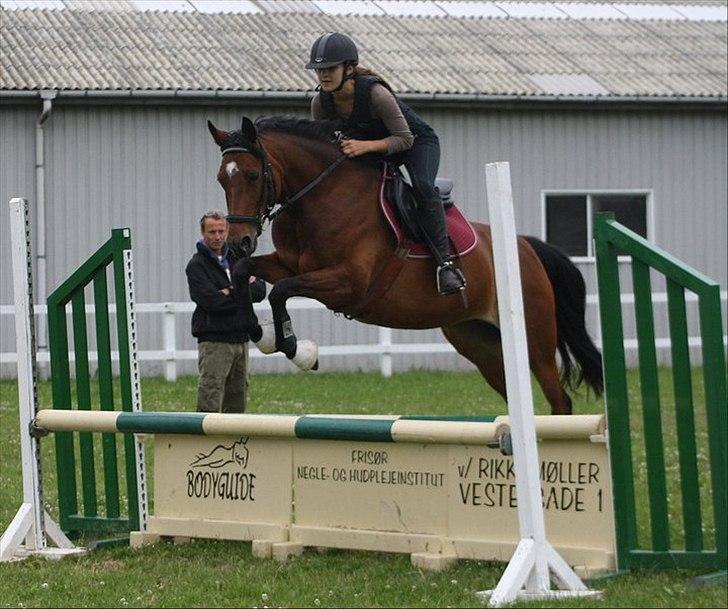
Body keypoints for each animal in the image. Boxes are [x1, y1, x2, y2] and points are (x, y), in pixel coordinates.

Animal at [206, 116, 604, 416]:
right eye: (221, 179)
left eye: (253, 176)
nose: (237, 242)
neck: (321, 199)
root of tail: (525, 246)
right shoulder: (289, 264)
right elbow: (245, 274)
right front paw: (261, 333)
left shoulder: (348, 284)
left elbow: (282, 292)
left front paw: (297, 349)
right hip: (477, 340)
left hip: (535, 341)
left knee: (559, 400)